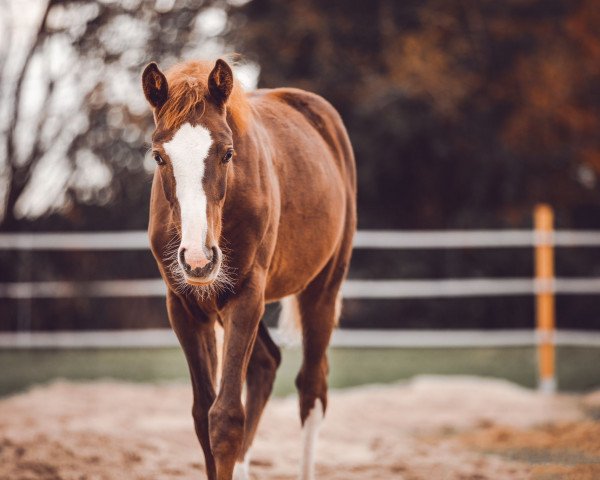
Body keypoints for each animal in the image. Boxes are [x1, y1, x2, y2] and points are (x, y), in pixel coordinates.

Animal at [141, 60, 356, 480]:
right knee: (265, 364)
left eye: (227, 153)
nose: (198, 259)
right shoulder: (186, 307)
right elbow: (202, 416)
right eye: (158, 156)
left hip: (322, 290)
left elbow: (225, 418)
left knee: (311, 389)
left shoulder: (245, 296)